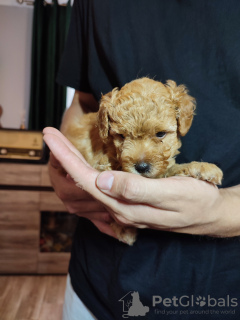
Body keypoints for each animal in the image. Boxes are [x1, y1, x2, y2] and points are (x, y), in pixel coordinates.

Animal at [64, 77, 223, 245]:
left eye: (160, 134)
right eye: (121, 136)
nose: (141, 167)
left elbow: (171, 168)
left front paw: (202, 168)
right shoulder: (102, 163)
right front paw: (123, 228)